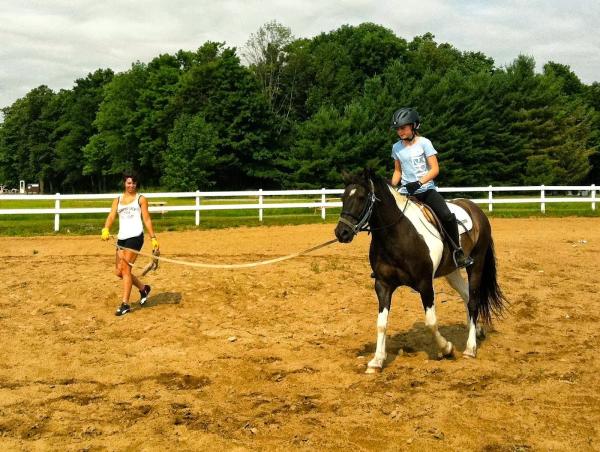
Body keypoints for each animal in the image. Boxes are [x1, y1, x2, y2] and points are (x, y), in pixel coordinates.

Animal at [332, 168, 506, 372]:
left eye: (361, 197)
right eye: (343, 197)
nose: (341, 232)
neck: (397, 234)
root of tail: (474, 208)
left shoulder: (425, 284)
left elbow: (431, 322)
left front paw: (446, 349)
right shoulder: (382, 284)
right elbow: (381, 324)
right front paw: (376, 361)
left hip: (476, 264)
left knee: (473, 301)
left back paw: (470, 349)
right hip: (451, 271)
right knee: (467, 296)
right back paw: (477, 330)